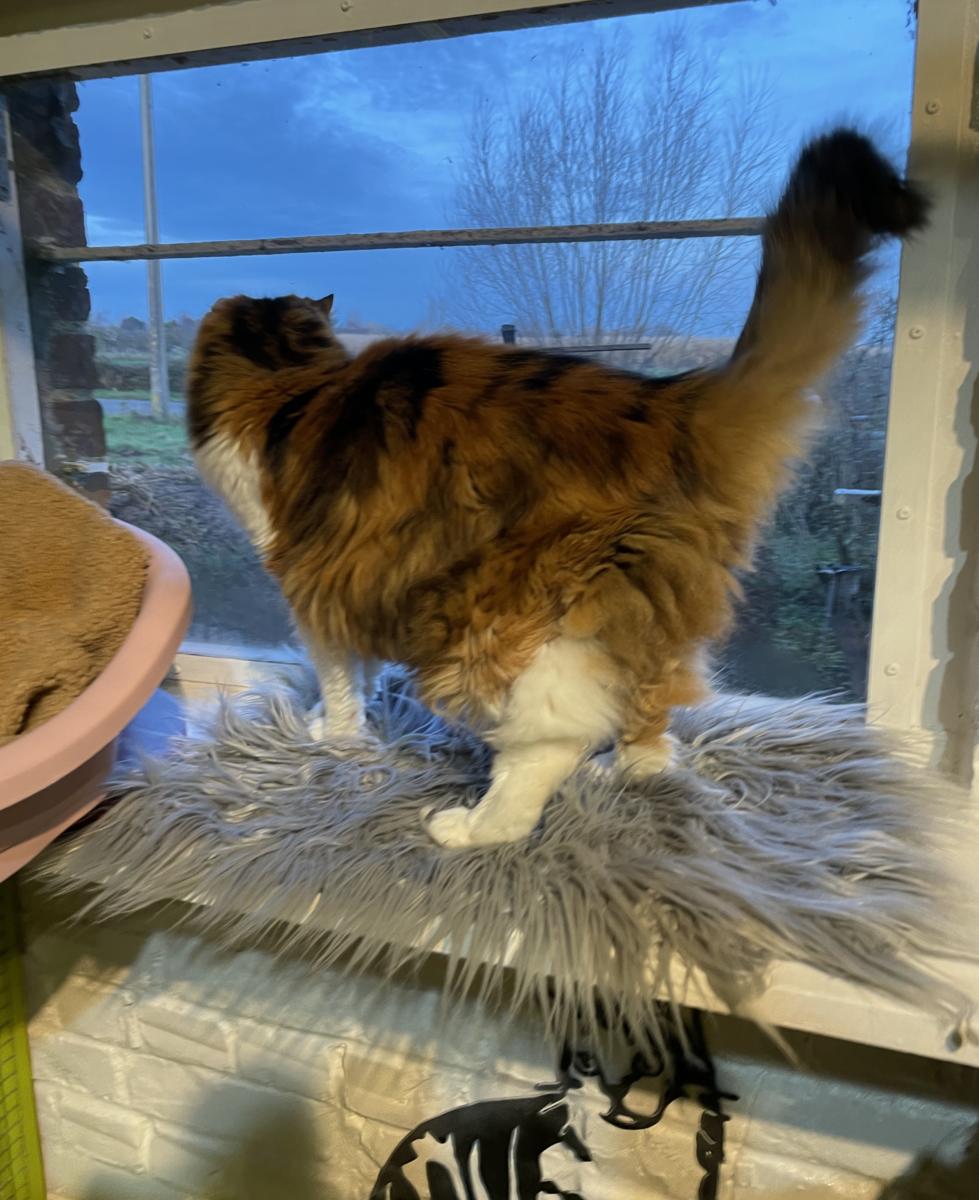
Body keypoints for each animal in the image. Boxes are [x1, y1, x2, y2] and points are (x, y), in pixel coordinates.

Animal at [186, 129, 927, 849]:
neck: (290, 380)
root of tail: (673, 399)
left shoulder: (312, 581)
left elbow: (340, 676)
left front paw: (332, 733)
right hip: (640, 613)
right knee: (650, 726)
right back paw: (619, 774)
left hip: (500, 620)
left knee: (547, 746)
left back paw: (471, 826)